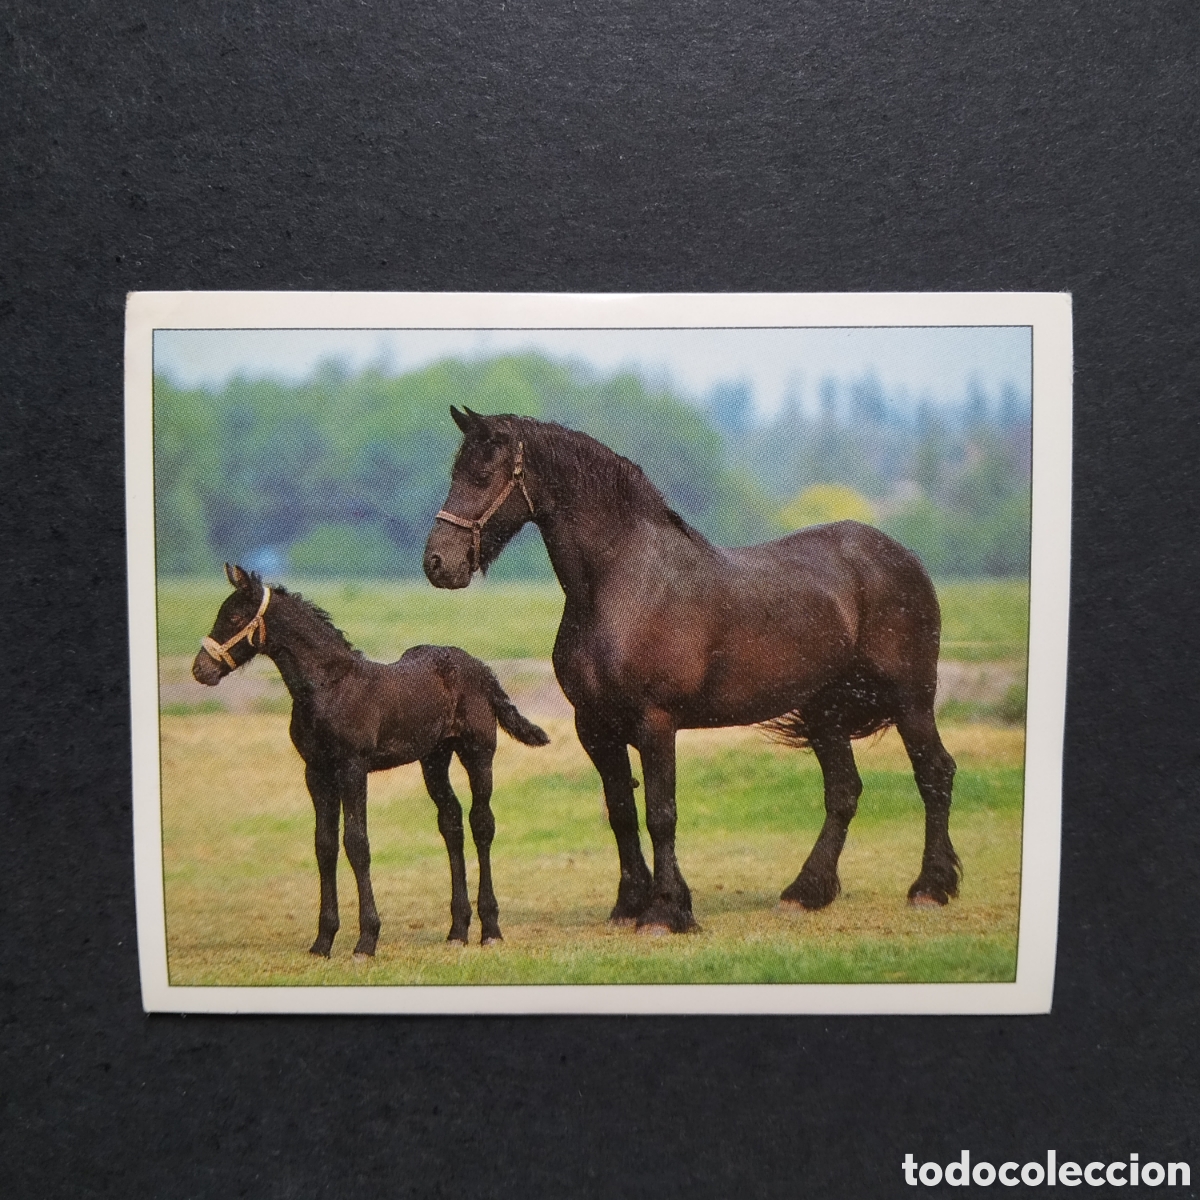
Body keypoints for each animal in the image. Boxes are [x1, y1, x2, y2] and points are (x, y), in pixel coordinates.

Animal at [191, 563, 549, 954]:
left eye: (234, 616)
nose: (200, 670)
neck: (329, 688)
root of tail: (483, 669)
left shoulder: (352, 767)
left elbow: (357, 843)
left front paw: (366, 940)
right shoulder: (316, 771)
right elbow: (325, 845)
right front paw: (323, 941)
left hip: (478, 751)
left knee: (481, 823)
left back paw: (490, 930)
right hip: (434, 758)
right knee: (451, 821)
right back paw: (457, 930)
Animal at [423, 408, 959, 934]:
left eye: (482, 475)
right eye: (454, 472)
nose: (438, 563)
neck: (624, 585)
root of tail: (903, 557)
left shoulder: (656, 721)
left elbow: (661, 814)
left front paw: (664, 913)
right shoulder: (595, 726)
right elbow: (622, 812)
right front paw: (631, 904)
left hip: (911, 699)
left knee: (934, 773)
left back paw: (930, 888)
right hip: (824, 711)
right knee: (844, 791)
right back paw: (806, 892)